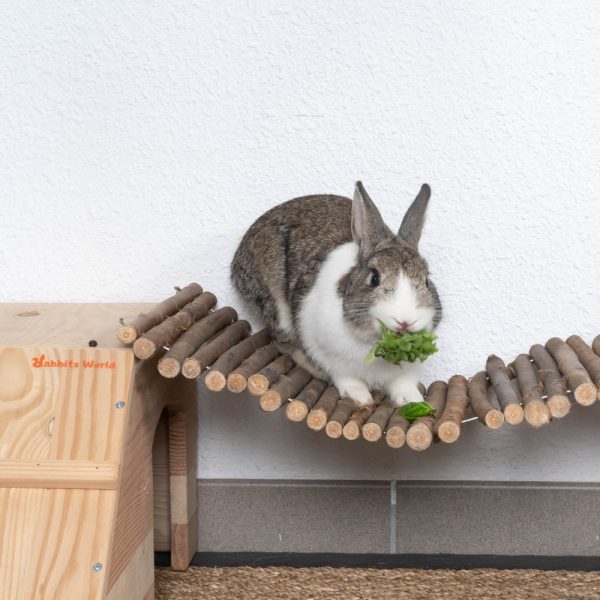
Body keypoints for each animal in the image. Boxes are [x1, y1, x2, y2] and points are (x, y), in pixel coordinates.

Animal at [232, 182, 442, 408]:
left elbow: (403, 385)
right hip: (276, 308)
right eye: (374, 278)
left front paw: (413, 400)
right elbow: (346, 378)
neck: (374, 344)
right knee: (280, 341)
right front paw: (360, 396)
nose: (406, 321)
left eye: (427, 280)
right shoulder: (331, 357)